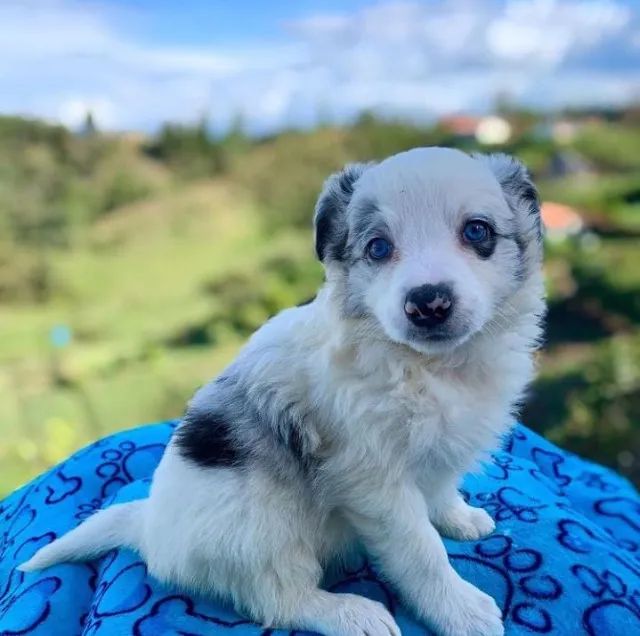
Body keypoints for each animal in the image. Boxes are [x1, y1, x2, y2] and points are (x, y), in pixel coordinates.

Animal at [22, 147, 548, 632]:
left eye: (477, 232)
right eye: (378, 248)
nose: (428, 302)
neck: (426, 366)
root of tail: (148, 528)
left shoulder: (440, 451)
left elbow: (440, 490)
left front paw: (459, 518)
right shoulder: (374, 481)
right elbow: (421, 550)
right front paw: (459, 611)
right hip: (264, 532)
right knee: (281, 600)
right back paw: (352, 613)